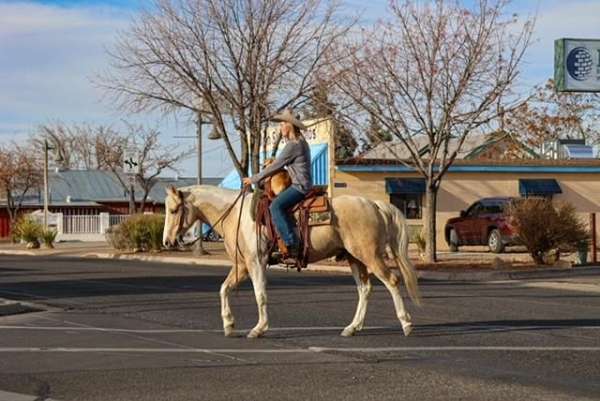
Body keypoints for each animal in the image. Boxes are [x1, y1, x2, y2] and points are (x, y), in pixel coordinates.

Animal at [162, 185, 420, 338]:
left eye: (174, 210)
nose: (167, 241)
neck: (235, 214)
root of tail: (375, 204)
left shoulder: (256, 262)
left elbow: (260, 294)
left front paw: (259, 328)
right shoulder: (242, 266)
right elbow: (224, 289)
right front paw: (228, 324)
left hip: (369, 255)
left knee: (392, 281)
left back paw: (406, 324)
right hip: (354, 258)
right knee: (364, 289)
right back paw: (352, 327)